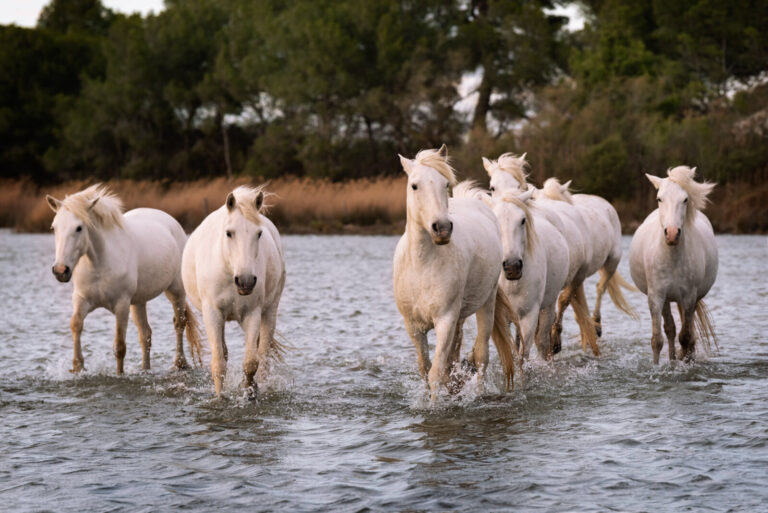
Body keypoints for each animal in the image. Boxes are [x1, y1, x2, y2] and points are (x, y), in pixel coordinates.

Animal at [46, 184, 202, 374]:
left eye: (79, 228)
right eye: (54, 228)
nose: (60, 271)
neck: (99, 262)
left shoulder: (121, 305)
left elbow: (120, 346)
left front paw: (119, 374)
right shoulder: (81, 299)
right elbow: (76, 324)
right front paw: (78, 367)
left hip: (176, 291)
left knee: (179, 323)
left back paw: (179, 363)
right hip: (139, 302)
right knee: (145, 334)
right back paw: (145, 369)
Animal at [182, 186, 286, 397]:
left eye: (258, 234)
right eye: (229, 233)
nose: (245, 281)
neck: (229, 270)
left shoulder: (252, 313)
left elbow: (251, 363)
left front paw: (250, 392)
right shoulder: (212, 313)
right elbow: (219, 364)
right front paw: (220, 397)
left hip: (269, 312)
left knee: (263, 356)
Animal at [393, 145, 516, 399]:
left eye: (444, 184)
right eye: (414, 185)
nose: (441, 228)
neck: (421, 265)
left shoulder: (445, 321)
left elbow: (436, 373)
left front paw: (436, 404)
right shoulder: (413, 327)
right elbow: (425, 369)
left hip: (486, 304)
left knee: (481, 356)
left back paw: (478, 393)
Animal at [484, 154, 598, 356]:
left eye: (523, 221)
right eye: (492, 187)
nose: (512, 267)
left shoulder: (530, 315)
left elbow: (523, 355)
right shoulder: (503, 316)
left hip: (556, 297)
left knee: (547, 334)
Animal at [629, 167, 718, 363]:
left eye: (685, 199)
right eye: (659, 199)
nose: (671, 234)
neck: (672, 257)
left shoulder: (689, 297)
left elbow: (685, 337)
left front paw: (686, 363)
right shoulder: (655, 297)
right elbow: (657, 339)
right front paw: (657, 366)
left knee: (687, 332)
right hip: (666, 299)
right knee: (670, 329)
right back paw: (671, 360)